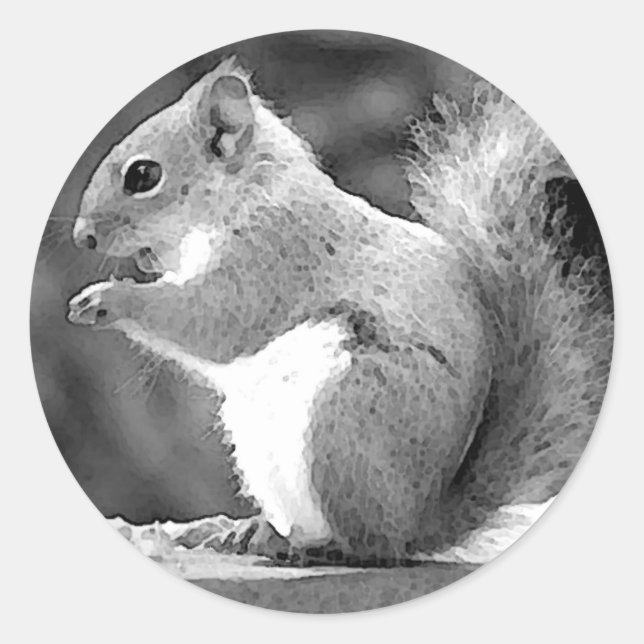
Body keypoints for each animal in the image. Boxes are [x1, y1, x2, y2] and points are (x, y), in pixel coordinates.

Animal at [66, 57, 613, 566]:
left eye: (143, 175)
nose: (82, 237)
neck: (246, 193)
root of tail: (418, 525)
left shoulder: (273, 256)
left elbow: (211, 321)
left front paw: (108, 298)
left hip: (346, 418)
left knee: (368, 546)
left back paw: (312, 546)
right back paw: (243, 531)